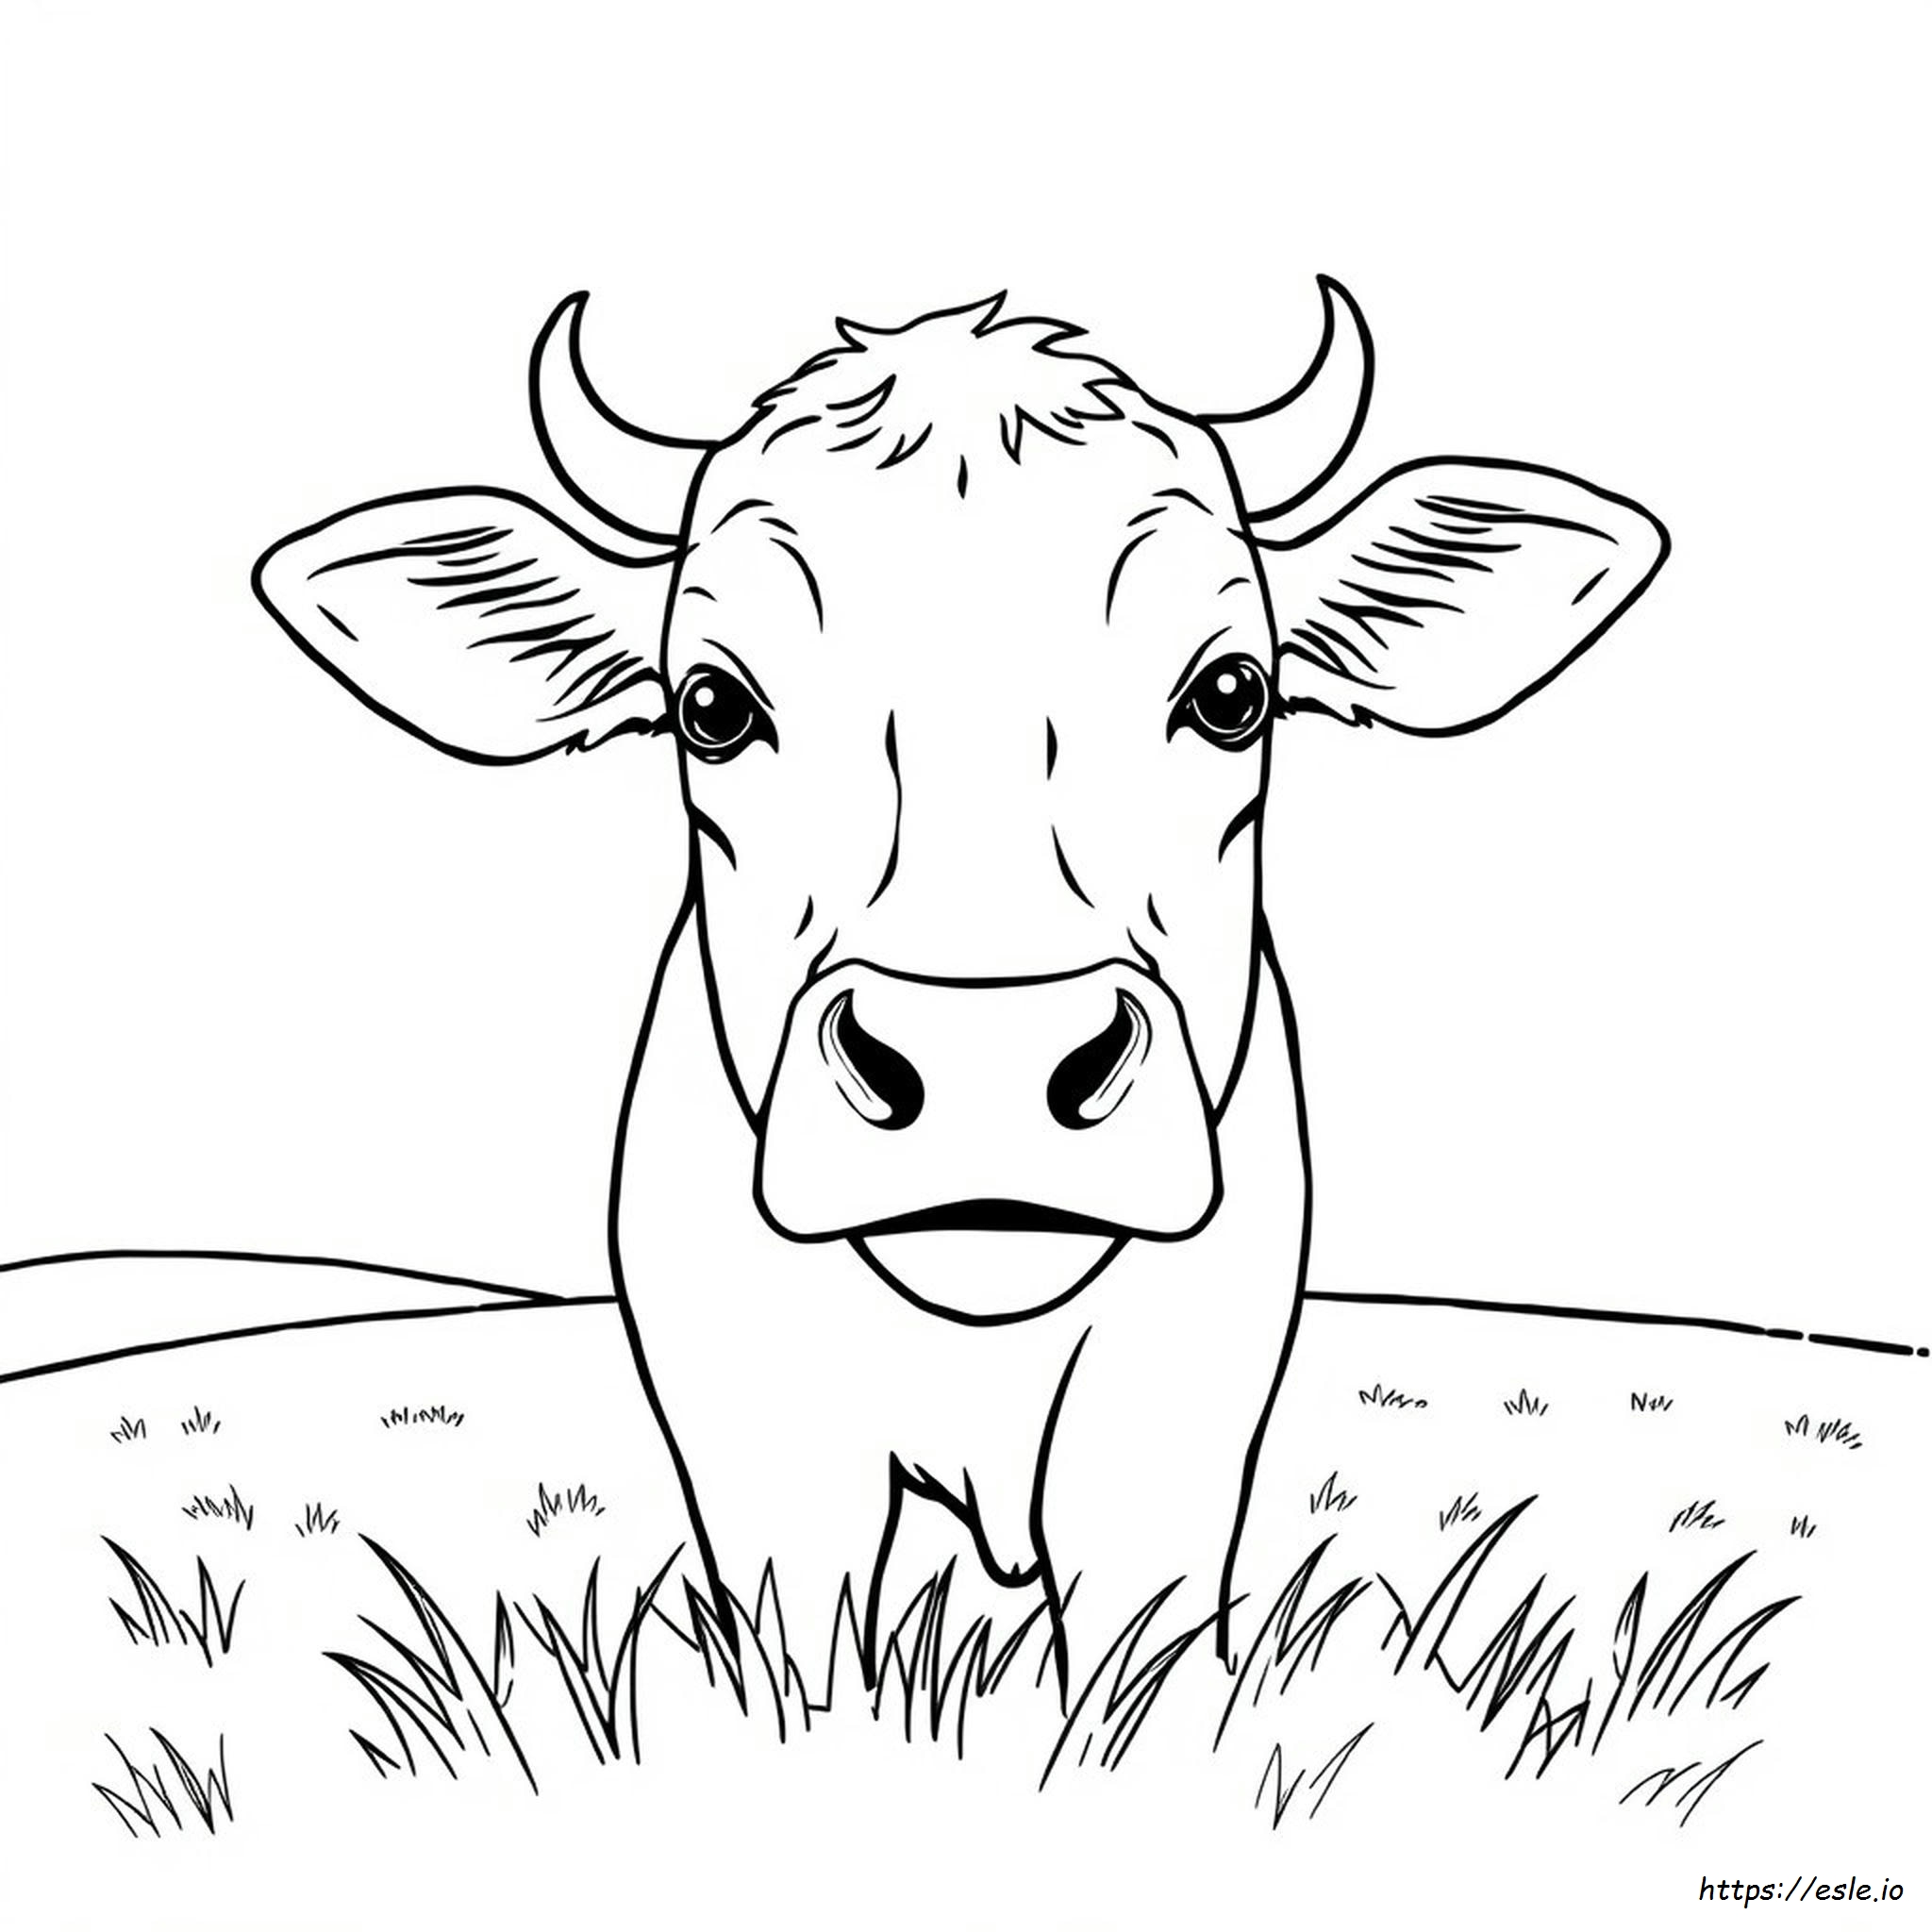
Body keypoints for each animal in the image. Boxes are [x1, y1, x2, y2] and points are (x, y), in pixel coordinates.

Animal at [254, 282, 1667, 1703]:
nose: (985, 1065)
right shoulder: (748, 1423)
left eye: (1230, 690)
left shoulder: (1180, 1407)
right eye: (711, 704)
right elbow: (803, 1648)